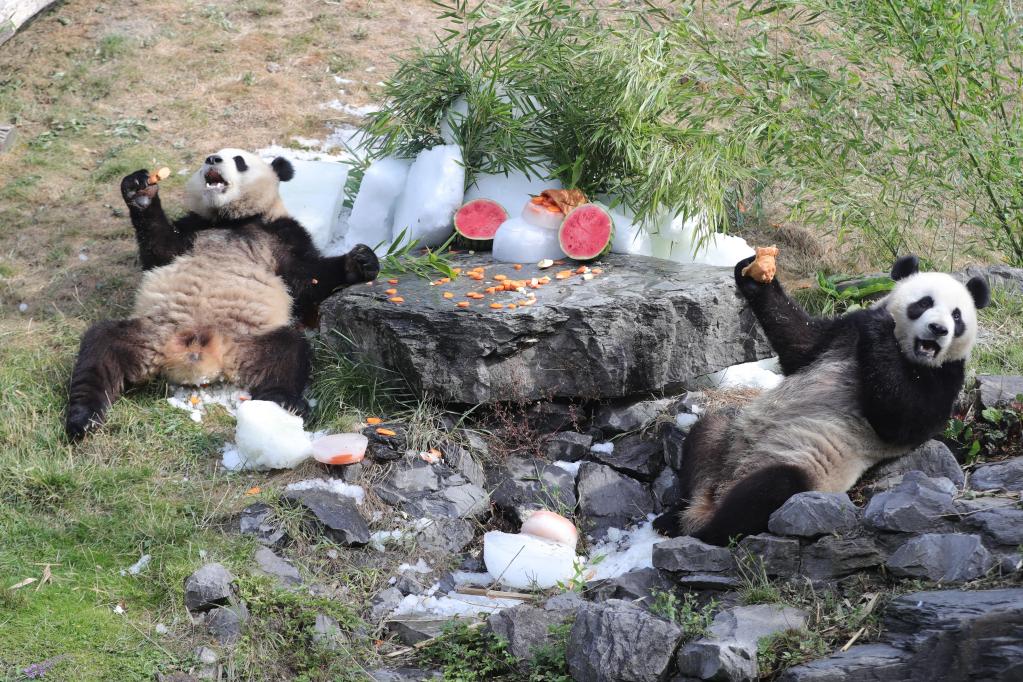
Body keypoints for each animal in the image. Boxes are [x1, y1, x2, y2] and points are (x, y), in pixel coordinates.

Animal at [63, 147, 378, 439]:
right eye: (208, 157)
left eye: (239, 161)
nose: (213, 160)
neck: (229, 219)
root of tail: (200, 354)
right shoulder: (192, 229)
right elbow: (161, 249)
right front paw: (141, 190)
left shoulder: (281, 232)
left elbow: (306, 277)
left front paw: (360, 262)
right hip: (151, 333)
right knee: (100, 348)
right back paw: (83, 418)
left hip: (249, 341)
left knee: (289, 353)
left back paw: (282, 405)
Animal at [654, 253, 990, 548]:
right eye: (924, 303)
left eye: (957, 315)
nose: (939, 329)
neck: (908, 353)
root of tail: (719, 492)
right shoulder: (842, 333)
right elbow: (801, 345)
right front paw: (754, 275)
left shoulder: (945, 376)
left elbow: (903, 420)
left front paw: (880, 327)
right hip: (729, 441)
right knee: (706, 436)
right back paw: (675, 516)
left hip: (804, 468)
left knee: (771, 488)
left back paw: (704, 531)